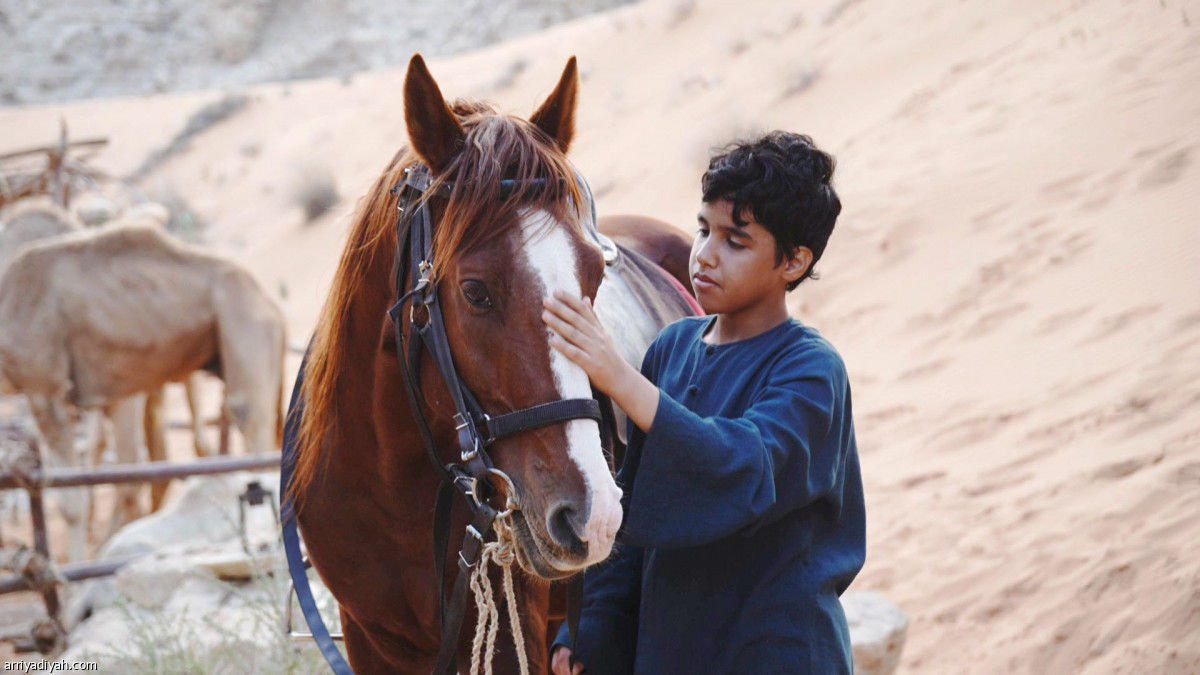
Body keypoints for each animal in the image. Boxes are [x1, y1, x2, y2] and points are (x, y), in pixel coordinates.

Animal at [286, 55, 700, 667]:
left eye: (595, 279)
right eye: (476, 291)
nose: (593, 514)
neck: (391, 487)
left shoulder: (507, 632)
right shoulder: (368, 640)